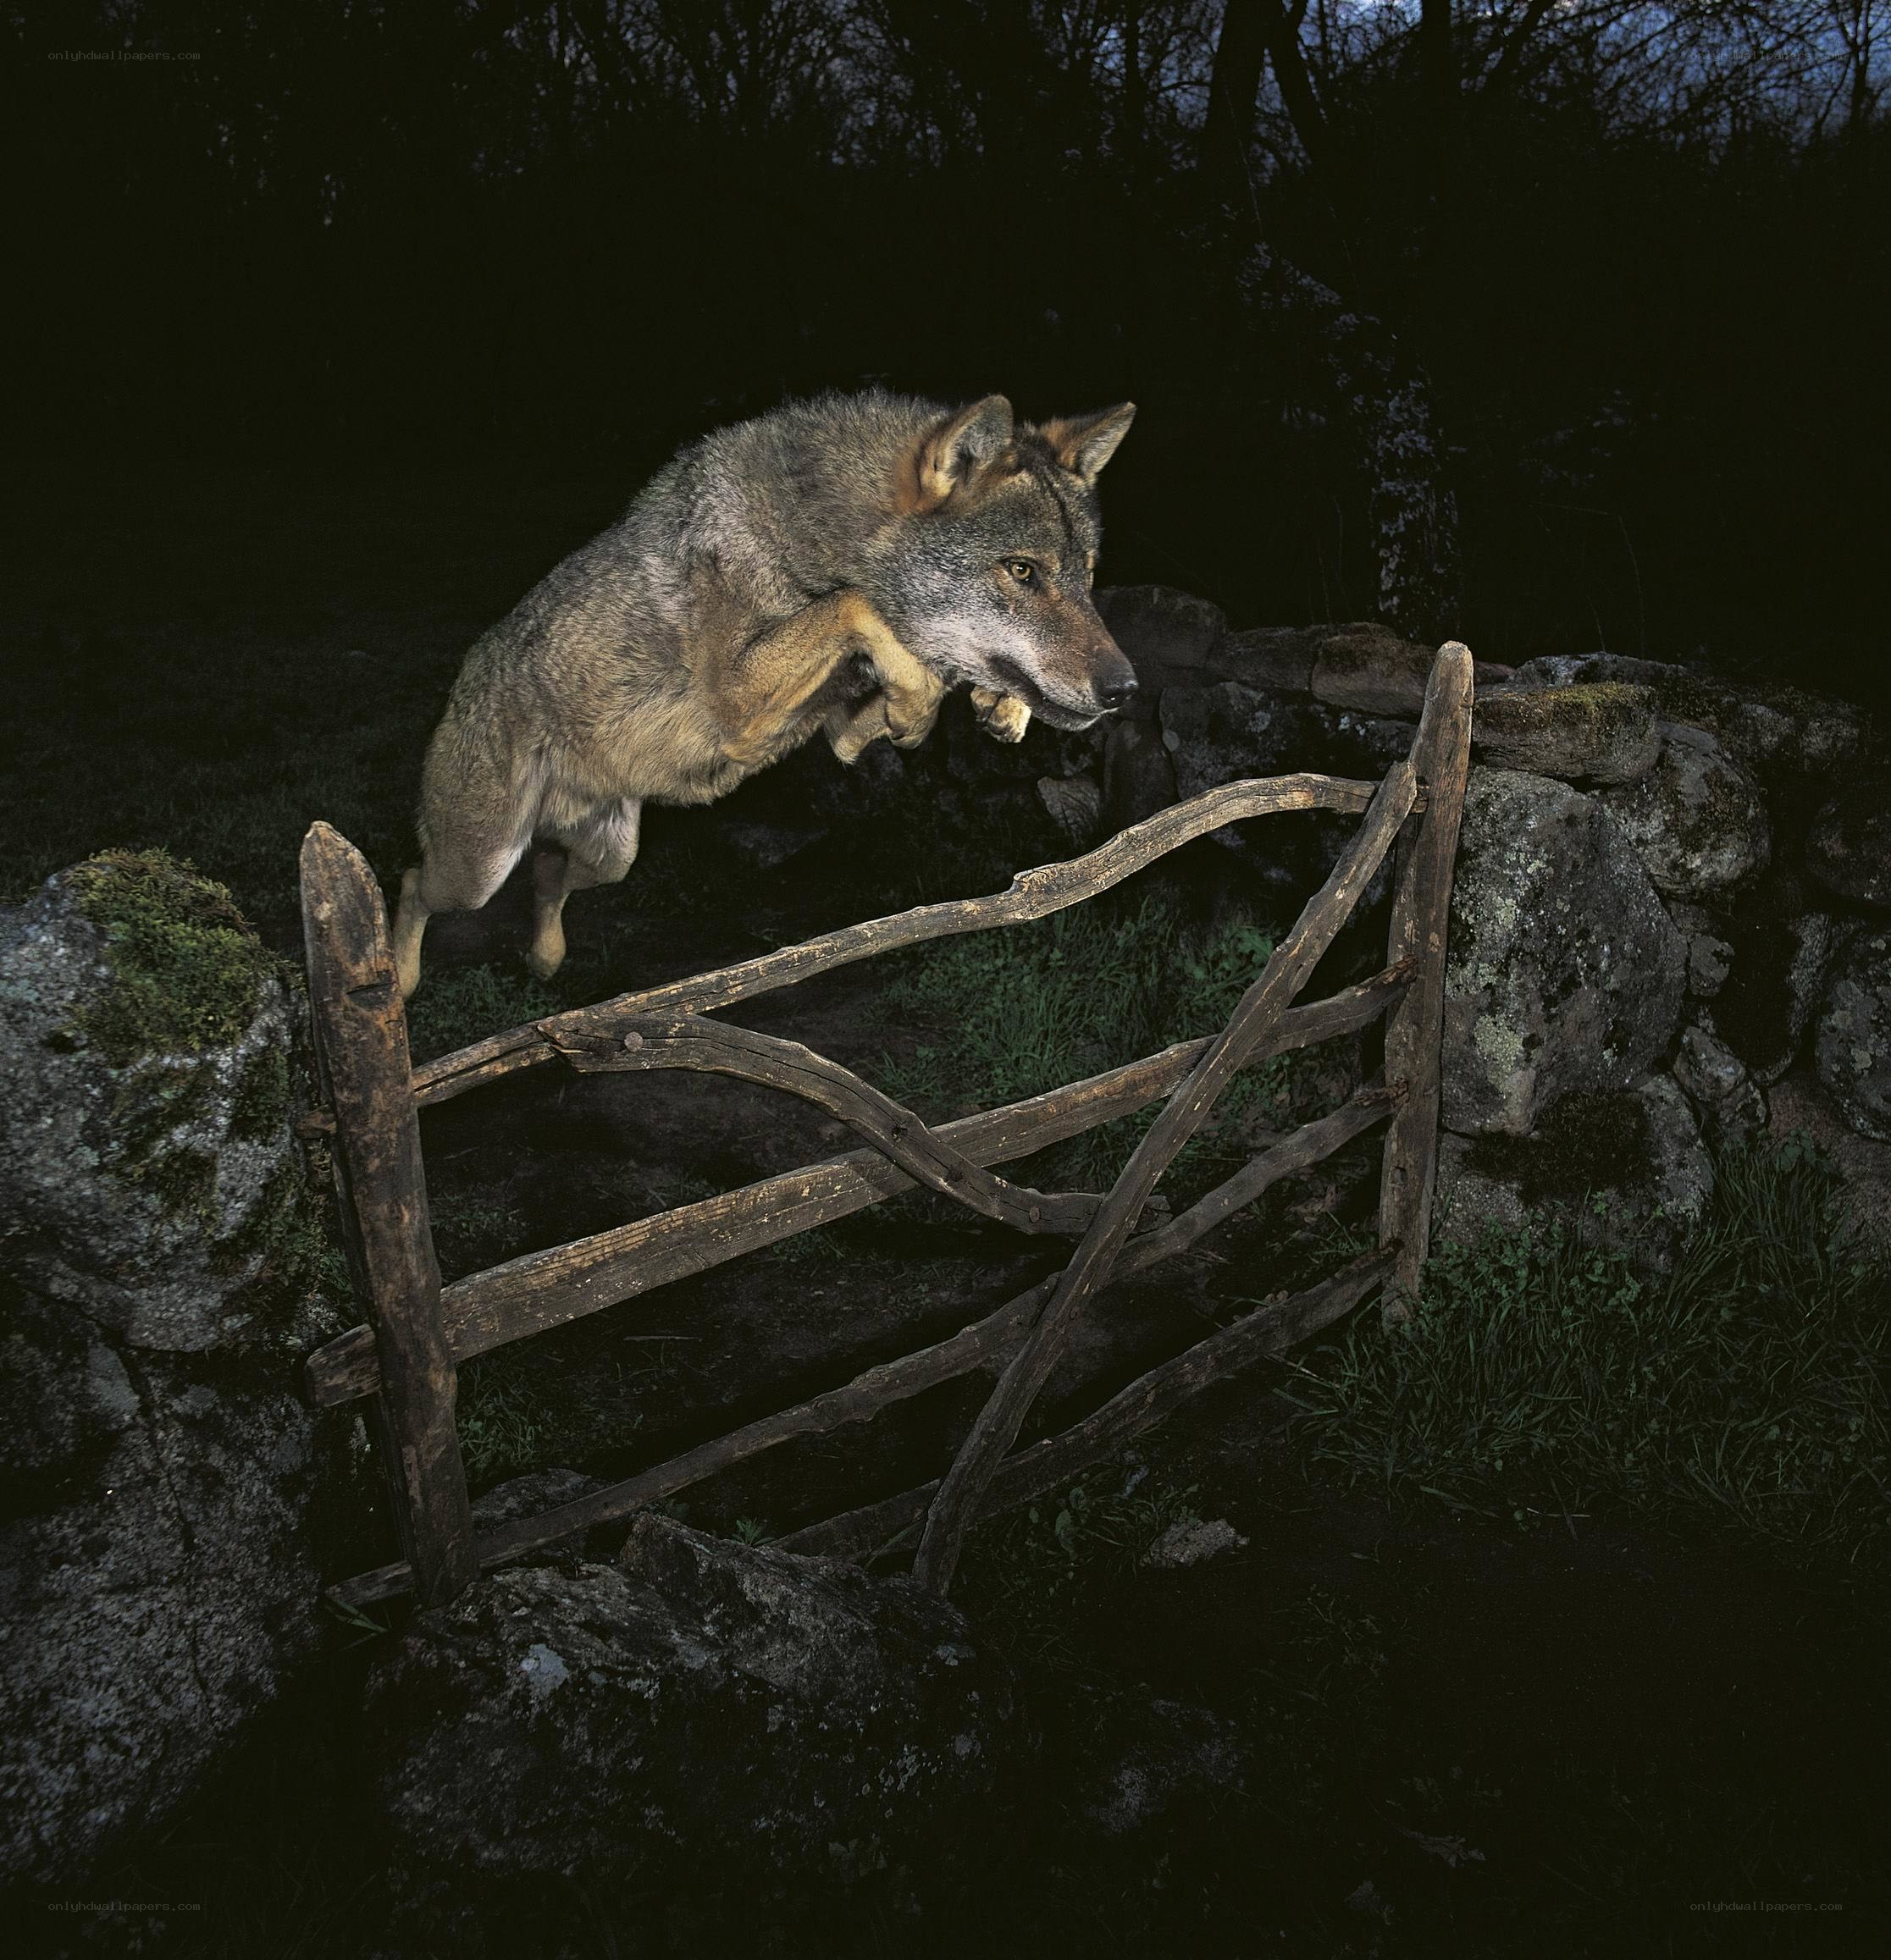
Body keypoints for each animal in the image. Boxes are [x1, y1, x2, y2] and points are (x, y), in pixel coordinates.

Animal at [391, 388, 1139, 999]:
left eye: (1085, 577)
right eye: (1022, 571)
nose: (1125, 689)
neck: (812, 535)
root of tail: (469, 671)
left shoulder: (838, 731)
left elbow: (908, 666)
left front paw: (995, 706)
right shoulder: (739, 699)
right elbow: (855, 604)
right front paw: (921, 700)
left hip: (610, 858)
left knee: (546, 876)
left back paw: (544, 961)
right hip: (477, 869)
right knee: (411, 882)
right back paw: (396, 982)